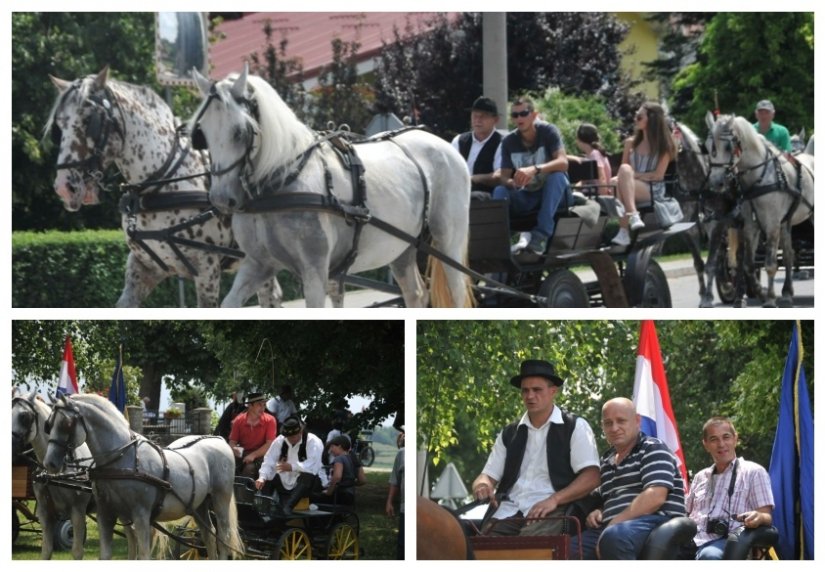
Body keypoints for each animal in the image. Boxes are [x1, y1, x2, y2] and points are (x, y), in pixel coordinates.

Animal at [42, 396, 241, 560]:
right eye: (49, 424)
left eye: (67, 424)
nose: (49, 463)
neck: (121, 459)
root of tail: (219, 440)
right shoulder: (106, 514)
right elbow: (106, 555)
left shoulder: (141, 515)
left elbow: (144, 554)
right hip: (199, 505)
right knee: (209, 536)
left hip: (220, 498)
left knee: (224, 537)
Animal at [45, 67, 284, 308]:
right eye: (59, 126)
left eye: (89, 120)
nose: (64, 187)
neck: (159, 186)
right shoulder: (143, 268)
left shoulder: (207, 269)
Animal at [187, 65, 470, 308]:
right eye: (202, 134)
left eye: (240, 132)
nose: (221, 199)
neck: (281, 183)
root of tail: (443, 144)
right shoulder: (259, 264)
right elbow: (228, 303)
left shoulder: (315, 271)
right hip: (402, 246)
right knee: (415, 294)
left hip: (448, 240)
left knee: (456, 291)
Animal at [704, 113, 816, 308]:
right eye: (708, 147)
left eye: (728, 146)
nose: (716, 183)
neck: (758, 179)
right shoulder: (750, 226)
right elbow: (748, 265)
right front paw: (761, 292)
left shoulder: (771, 225)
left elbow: (770, 264)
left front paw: (770, 299)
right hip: (785, 222)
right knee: (789, 255)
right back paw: (787, 293)